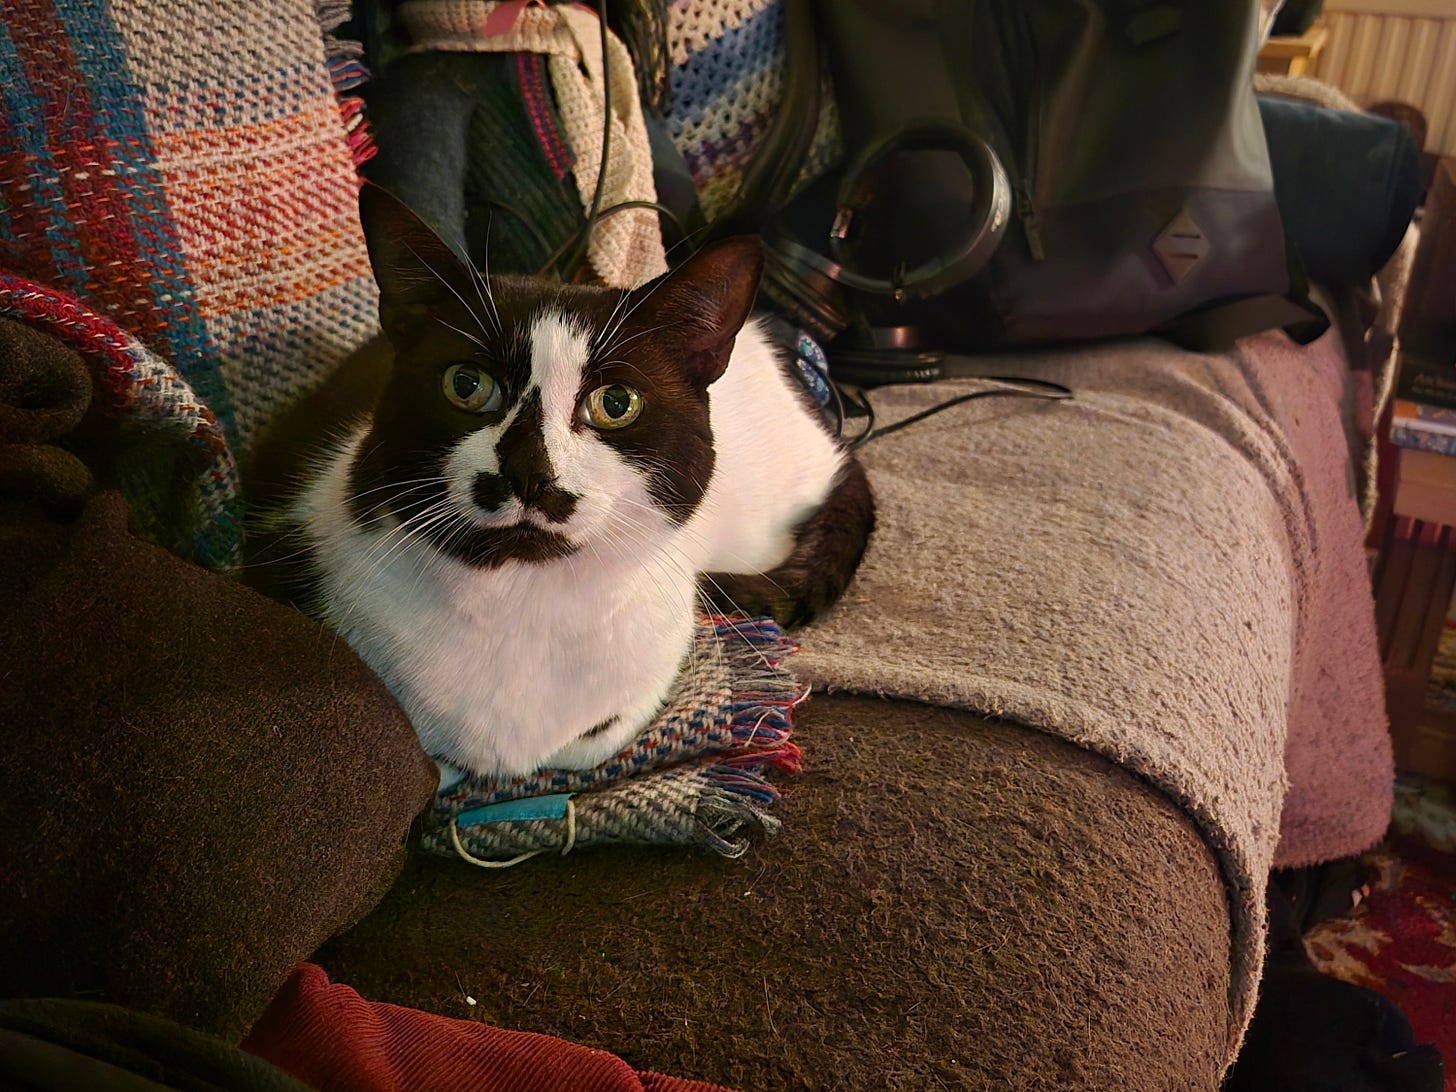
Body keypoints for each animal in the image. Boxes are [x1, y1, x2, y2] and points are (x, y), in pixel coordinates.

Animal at [245, 183, 873, 778]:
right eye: (465, 384)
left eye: (616, 403)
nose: (529, 470)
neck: (522, 599)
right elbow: (437, 758)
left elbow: (592, 739)